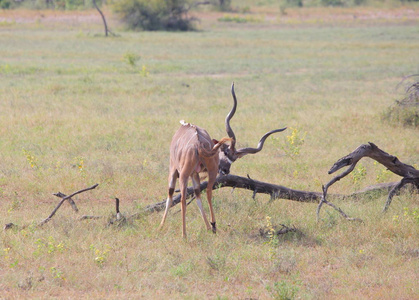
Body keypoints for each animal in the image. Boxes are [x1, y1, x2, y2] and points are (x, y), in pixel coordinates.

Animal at [159, 83, 288, 238]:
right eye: (226, 152)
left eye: (234, 159)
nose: (226, 169)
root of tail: (198, 143)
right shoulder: (195, 173)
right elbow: (197, 195)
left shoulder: (175, 169)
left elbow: (172, 196)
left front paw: (160, 227)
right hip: (208, 172)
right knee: (206, 192)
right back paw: (212, 226)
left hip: (183, 174)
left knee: (184, 196)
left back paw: (186, 234)